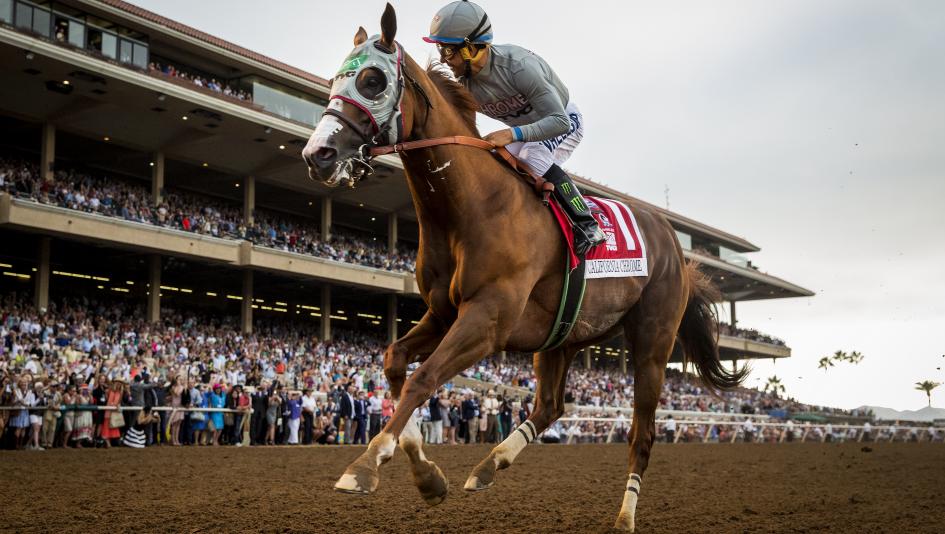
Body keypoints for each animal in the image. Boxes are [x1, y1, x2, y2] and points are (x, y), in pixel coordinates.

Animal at [302, 4, 744, 532]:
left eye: (372, 80)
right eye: (335, 79)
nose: (317, 154)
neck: (471, 205)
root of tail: (676, 247)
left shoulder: (488, 319)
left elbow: (423, 378)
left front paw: (365, 465)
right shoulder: (445, 313)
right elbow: (395, 362)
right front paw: (428, 476)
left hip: (652, 343)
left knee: (642, 434)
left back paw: (624, 516)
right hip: (561, 337)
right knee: (551, 405)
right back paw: (490, 465)